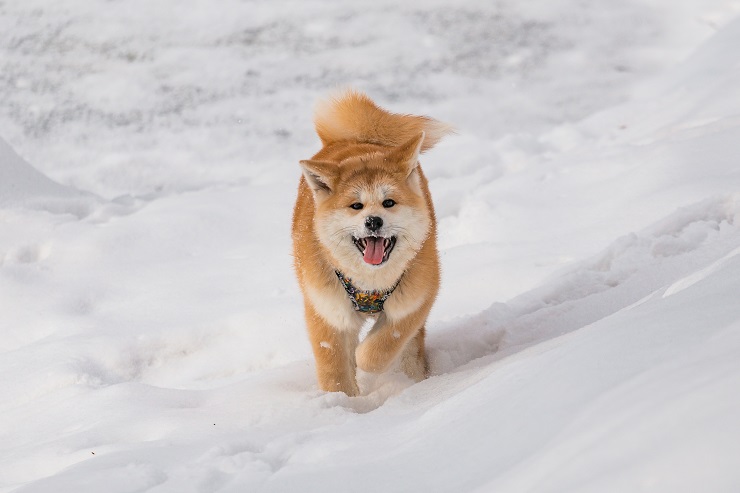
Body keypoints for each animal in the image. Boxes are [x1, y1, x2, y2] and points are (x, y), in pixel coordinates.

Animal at [294, 89, 454, 396]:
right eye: (356, 206)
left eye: (388, 202)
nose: (373, 221)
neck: (370, 284)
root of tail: (355, 140)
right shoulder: (327, 312)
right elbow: (334, 371)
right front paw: (342, 402)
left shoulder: (415, 299)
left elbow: (380, 348)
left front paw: (365, 360)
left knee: (410, 349)